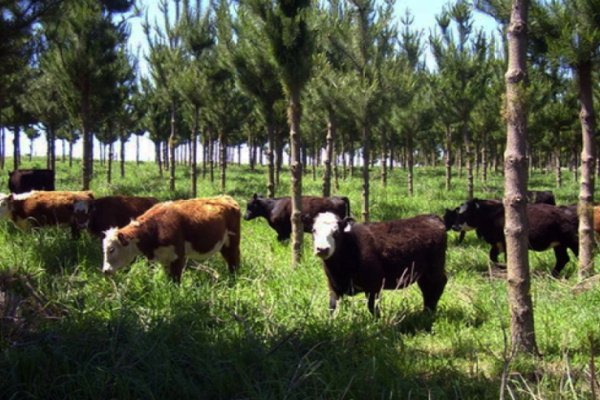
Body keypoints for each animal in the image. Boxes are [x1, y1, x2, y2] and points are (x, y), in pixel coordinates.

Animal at [102, 196, 241, 282]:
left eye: (111, 249)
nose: (105, 271)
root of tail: (225, 197)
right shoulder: (164, 258)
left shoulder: (177, 256)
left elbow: (175, 280)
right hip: (224, 245)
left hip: (232, 243)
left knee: (234, 263)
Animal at [312, 211, 448, 318]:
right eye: (314, 230)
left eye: (336, 232)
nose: (322, 249)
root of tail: (432, 217)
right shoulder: (333, 287)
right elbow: (332, 307)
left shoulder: (374, 285)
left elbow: (373, 307)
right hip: (423, 272)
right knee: (426, 287)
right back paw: (426, 311)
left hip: (434, 268)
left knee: (437, 285)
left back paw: (429, 312)